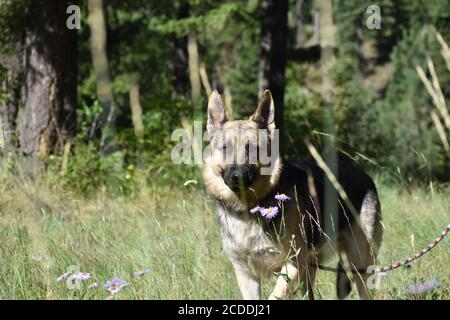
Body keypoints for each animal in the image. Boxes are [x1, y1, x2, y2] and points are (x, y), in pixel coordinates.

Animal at [204, 89, 384, 300]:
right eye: (226, 148)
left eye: (254, 148)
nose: (237, 176)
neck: (251, 207)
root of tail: (364, 174)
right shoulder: (246, 274)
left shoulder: (293, 264)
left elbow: (275, 295)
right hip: (312, 269)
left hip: (359, 266)